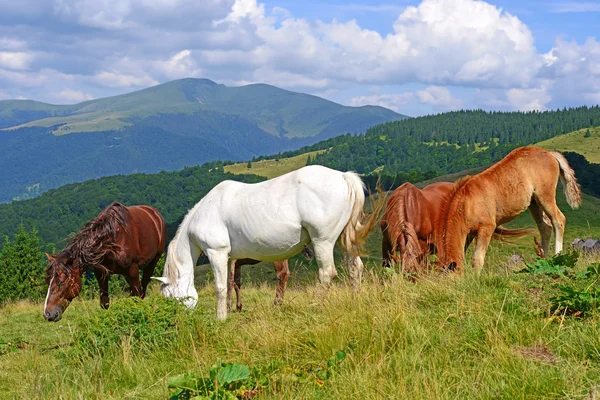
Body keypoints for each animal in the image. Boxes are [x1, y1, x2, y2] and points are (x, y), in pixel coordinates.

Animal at [152, 165, 382, 318]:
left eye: (169, 296)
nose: (175, 319)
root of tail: (343, 176)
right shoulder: (230, 258)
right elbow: (230, 283)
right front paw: (230, 312)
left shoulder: (216, 252)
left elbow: (220, 287)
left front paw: (220, 318)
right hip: (346, 240)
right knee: (355, 267)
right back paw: (354, 300)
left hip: (322, 241)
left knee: (326, 273)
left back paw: (315, 305)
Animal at [436, 145, 580, 274]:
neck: (466, 204)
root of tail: (550, 153)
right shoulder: (469, 233)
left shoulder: (486, 228)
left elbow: (477, 259)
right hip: (534, 203)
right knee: (545, 228)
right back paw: (543, 260)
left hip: (545, 196)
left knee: (558, 220)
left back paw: (557, 258)